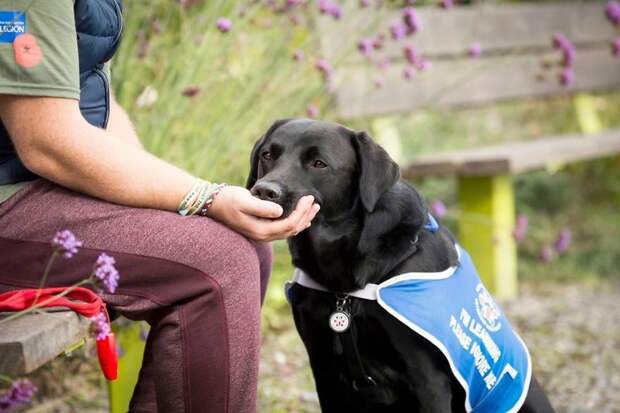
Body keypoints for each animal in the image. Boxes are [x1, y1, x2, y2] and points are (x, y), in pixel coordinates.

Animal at [245, 117, 556, 410]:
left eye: (319, 164)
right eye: (268, 155)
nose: (264, 191)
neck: (345, 288)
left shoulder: (427, 377)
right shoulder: (322, 367)